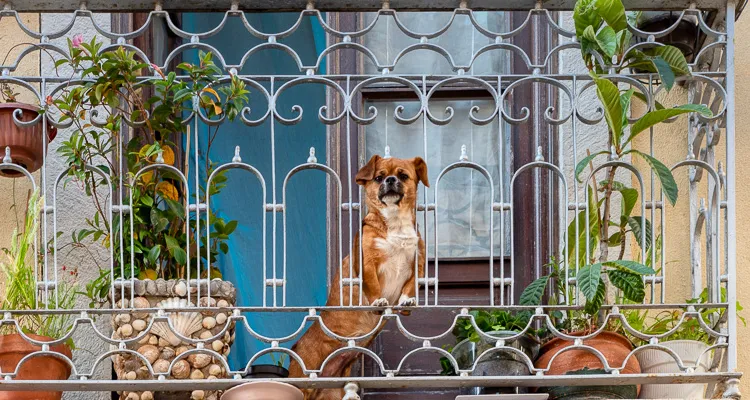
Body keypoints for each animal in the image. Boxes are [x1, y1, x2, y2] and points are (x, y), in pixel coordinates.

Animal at [288, 155, 428, 400]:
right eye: (379, 177)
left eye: (403, 176)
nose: (390, 180)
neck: (395, 223)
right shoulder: (367, 263)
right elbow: (373, 285)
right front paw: (378, 301)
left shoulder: (417, 263)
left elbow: (410, 287)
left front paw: (407, 301)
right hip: (301, 385)